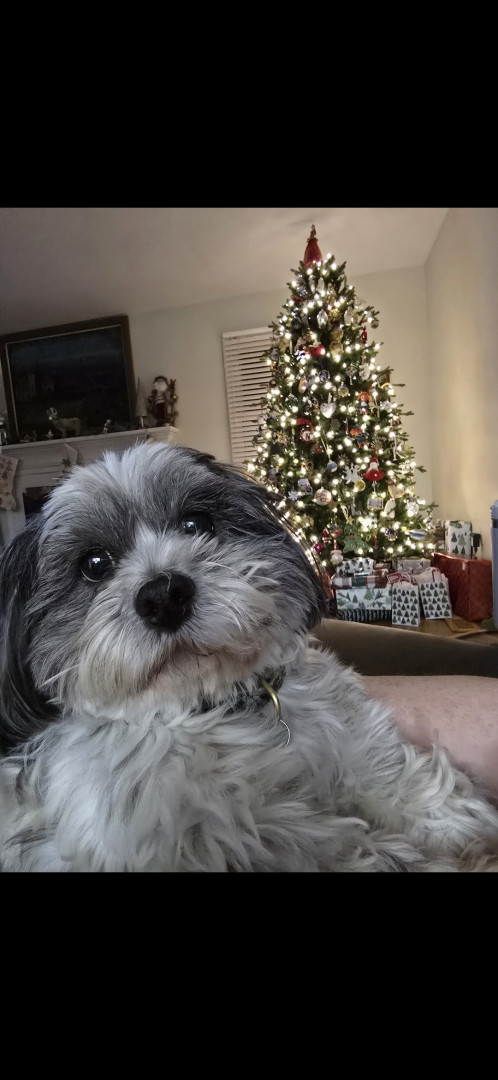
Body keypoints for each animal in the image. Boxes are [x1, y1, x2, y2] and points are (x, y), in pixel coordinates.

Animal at [1, 441, 498, 872]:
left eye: (196, 524)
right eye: (94, 565)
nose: (163, 595)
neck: (219, 708)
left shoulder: (355, 742)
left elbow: (398, 779)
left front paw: (464, 831)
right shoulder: (195, 837)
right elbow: (305, 837)